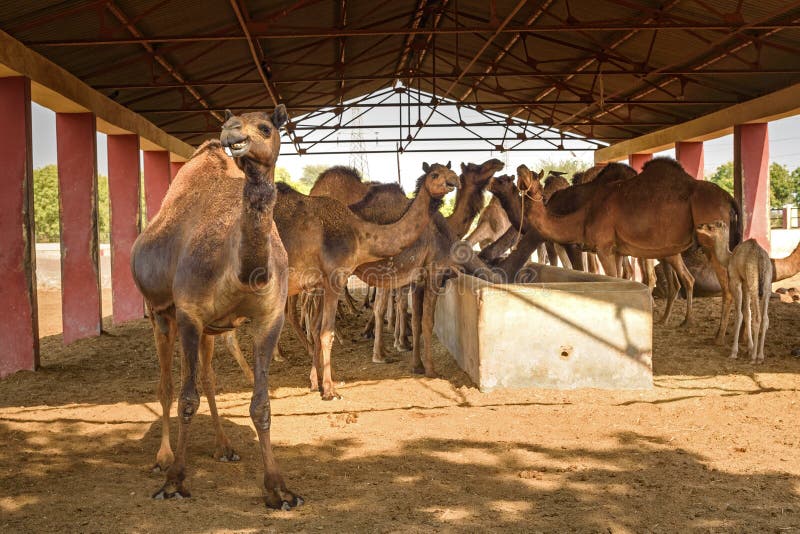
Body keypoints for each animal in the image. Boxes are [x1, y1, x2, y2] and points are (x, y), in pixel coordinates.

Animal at [133, 105, 302, 510]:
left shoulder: (269, 318)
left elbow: (260, 404)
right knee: (166, 383)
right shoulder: (189, 313)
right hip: (160, 315)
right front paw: (175, 482)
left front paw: (279, 489)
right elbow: (186, 398)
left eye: (266, 127)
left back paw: (224, 446)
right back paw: (163, 458)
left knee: (208, 378)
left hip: (210, 329)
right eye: (229, 122)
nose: (232, 133)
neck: (242, 271)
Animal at [516, 157, 740, 338]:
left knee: (725, 284)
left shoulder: (604, 248)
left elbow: (612, 278)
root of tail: (728, 198)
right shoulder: (617, 251)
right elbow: (620, 278)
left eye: (535, 177)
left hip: (711, 241)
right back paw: (684, 321)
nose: (521, 168)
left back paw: (719, 335)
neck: (584, 215)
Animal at [696, 222, 772, 364]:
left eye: (711, 227)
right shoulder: (745, 282)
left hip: (753, 281)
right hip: (766, 283)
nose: (699, 227)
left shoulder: (736, 280)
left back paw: (754, 358)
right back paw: (760, 356)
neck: (729, 258)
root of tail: (760, 257)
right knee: (765, 318)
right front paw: (749, 348)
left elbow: (739, 314)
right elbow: (747, 313)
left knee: (758, 317)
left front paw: (734, 352)